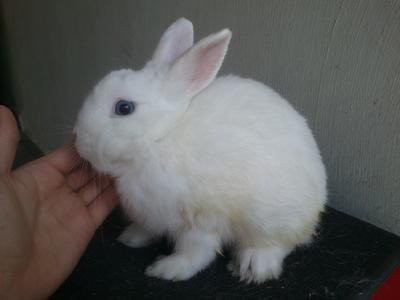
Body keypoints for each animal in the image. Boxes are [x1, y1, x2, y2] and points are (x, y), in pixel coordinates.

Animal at [74, 17, 324, 282]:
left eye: (124, 107)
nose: (78, 140)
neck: (161, 138)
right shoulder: (155, 216)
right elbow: (149, 230)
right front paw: (131, 237)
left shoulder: (201, 220)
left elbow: (196, 253)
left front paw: (166, 269)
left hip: (271, 219)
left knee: (278, 243)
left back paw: (253, 266)